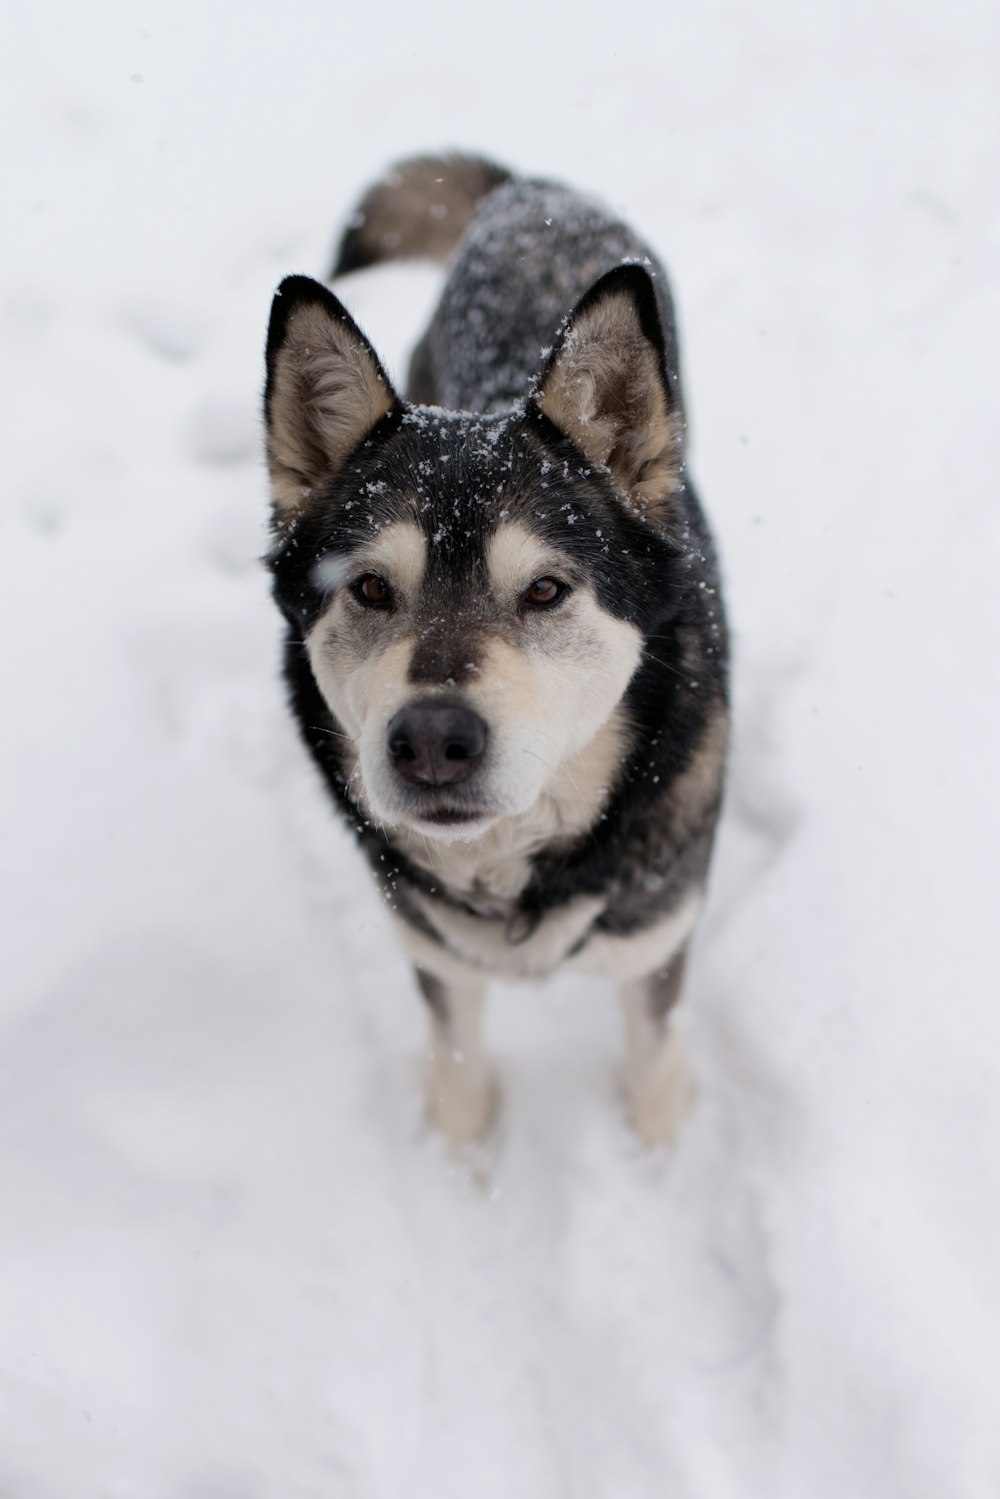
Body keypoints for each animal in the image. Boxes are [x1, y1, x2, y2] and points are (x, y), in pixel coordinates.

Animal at [262, 155, 731, 1145]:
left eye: (546, 590)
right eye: (370, 588)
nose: (433, 740)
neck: (518, 872)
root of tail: (531, 188)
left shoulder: (652, 949)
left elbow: (655, 1079)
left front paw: (660, 1158)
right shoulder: (437, 955)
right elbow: (458, 1076)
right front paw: (462, 1162)